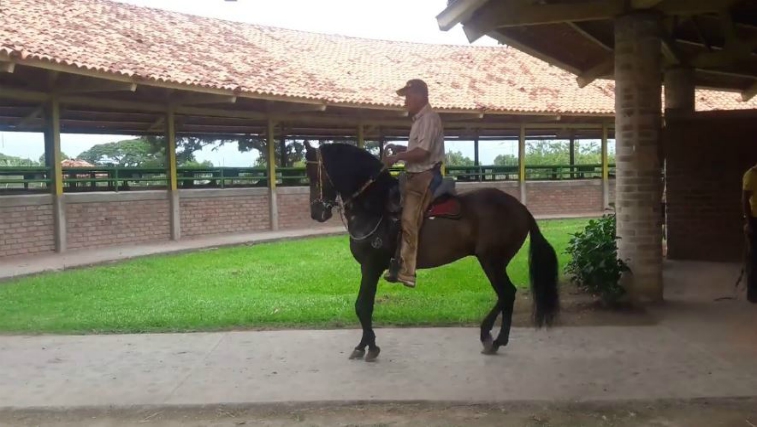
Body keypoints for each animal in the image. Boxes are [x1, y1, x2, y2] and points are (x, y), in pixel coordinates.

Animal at [304, 143, 560, 362]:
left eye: (312, 174)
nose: (317, 213)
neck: (375, 205)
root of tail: (522, 209)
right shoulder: (368, 268)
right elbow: (365, 306)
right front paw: (365, 345)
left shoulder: (371, 266)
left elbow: (362, 306)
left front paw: (368, 347)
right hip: (494, 261)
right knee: (506, 295)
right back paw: (490, 336)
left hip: (492, 261)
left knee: (507, 294)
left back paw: (495, 339)